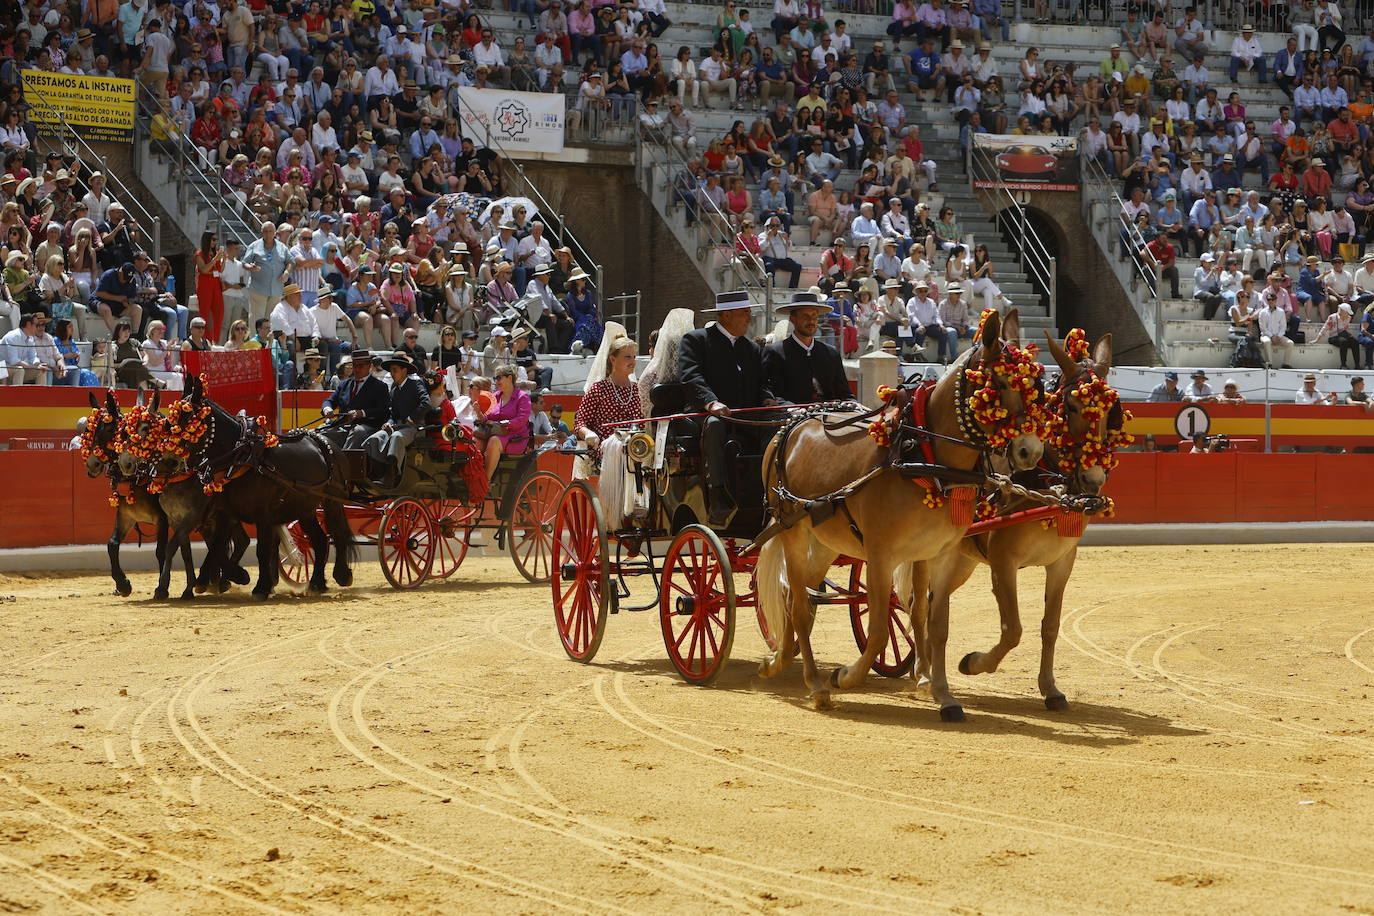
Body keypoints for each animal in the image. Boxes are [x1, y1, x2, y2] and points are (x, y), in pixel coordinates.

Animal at [752, 311, 1038, 714]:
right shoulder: (880, 554)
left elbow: (931, 620)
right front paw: (847, 676)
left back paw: (778, 661)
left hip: (824, 541)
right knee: (798, 605)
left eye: (1033, 388)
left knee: (797, 597)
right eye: (997, 382)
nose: (1031, 450)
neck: (921, 455)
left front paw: (940, 691)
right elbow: (876, 632)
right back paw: (816, 683)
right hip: (792, 530)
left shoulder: (936, 553)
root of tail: (792, 423)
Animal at [901, 333, 1115, 719]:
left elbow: (1050, 626)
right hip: (926, 554)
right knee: (918, 605)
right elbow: (1012, 628)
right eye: (1072, 406)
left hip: (961, 562)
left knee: (932, 602)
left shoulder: (1062, 563)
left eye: (1110, 410)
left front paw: (1050, 689)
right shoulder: (1003, 561)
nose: (1094, 480)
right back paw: (924, 675)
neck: (1046, 485)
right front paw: (973, 663)